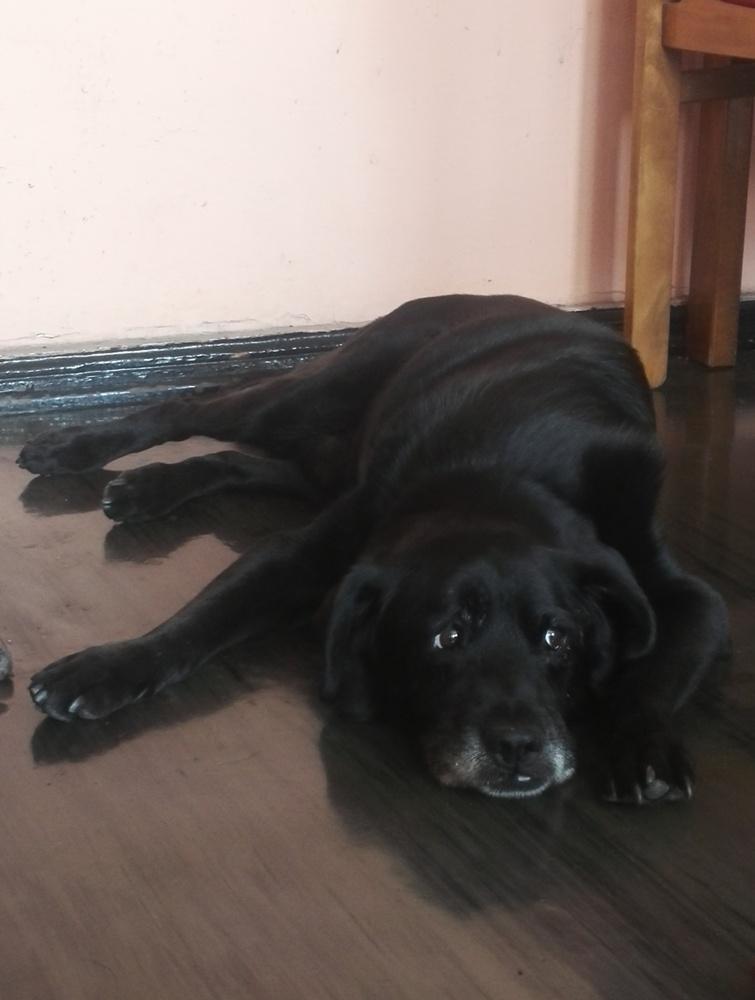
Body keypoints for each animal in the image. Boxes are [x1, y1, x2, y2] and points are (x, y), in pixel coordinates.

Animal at [18, 295, 728, 803]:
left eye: (559, 640)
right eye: (446, 637)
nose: (520, 746)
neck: (504, 480)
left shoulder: (683, 592)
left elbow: (660, 668)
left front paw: (643, 744)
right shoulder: (312, 548)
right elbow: (202, 619)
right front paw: (109, 668)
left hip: (326, 460)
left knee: (240, 460)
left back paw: (150, 487)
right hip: (315, 396)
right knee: (193, 405)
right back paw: (72, 447)